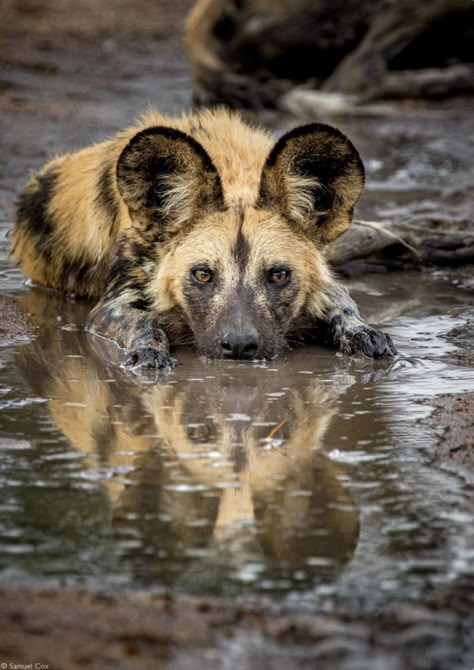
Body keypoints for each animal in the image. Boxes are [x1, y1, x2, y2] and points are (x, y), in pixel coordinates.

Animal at [12, 107, 396, 368]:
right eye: (202, 274)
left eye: (278, 275)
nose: (239, 346)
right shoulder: (112, 305)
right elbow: (144, 321)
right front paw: (150, 352)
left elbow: (342, 301)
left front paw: (361, 332)